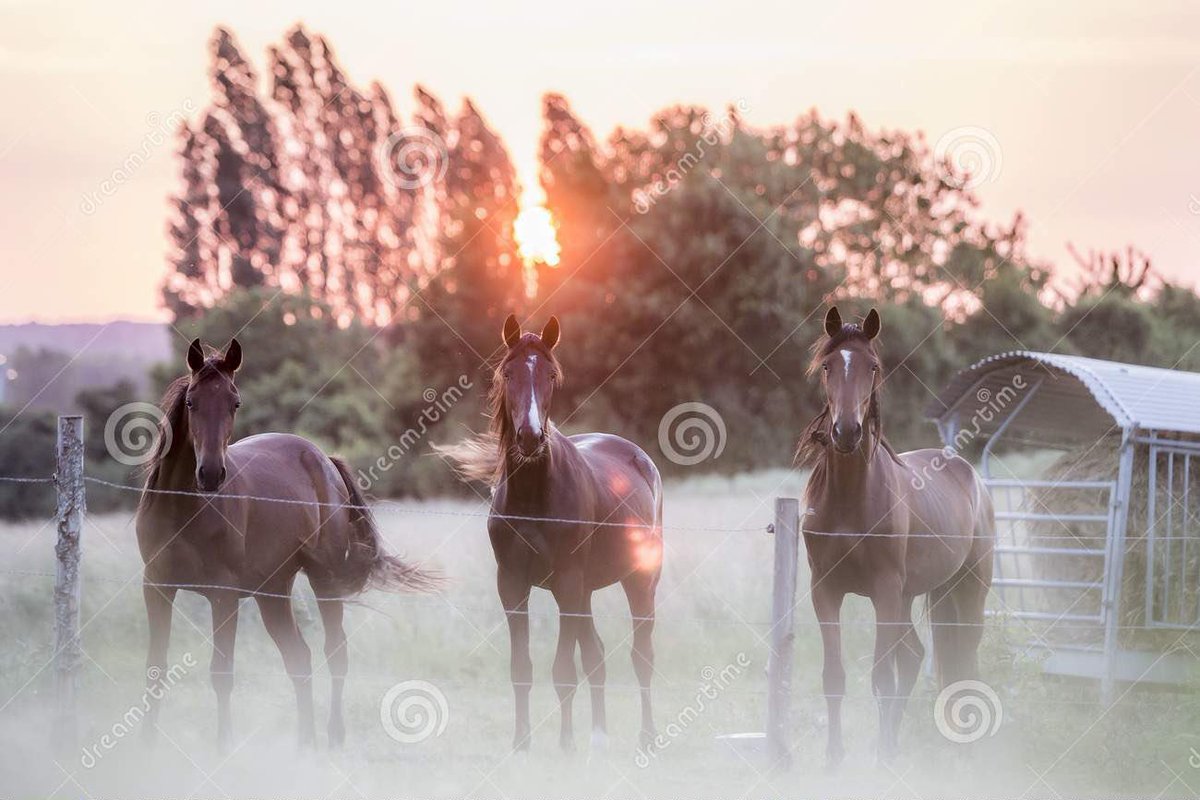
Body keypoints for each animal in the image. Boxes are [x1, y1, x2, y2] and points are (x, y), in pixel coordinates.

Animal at [136, 338, 437, 750]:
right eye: (191, 402)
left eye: (235, 402)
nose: (211, 474)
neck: (184, 507)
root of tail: (323, 458)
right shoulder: (156, 587)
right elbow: (155, 668)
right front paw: (147, 749)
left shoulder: (223, 594)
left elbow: (221, 672)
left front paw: (223, 747)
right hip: (273, 592)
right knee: (299, 657)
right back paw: (304, 741)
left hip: (323, 579)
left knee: (334, 650)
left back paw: (333, 735)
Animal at [436, 314, 664, 753]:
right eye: (508, 373)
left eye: (551, 375)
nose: (529, 436)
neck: (532, 497)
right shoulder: (512, 585)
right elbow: (522, 667)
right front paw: (522, 742)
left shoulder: (568, 584)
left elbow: (562, 670)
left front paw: (566, 744)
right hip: (585, 591)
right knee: (596, 656)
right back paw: (599, 736)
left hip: (637, 581)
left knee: (642, 655)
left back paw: (646, 736)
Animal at [796, 307, 994, 765]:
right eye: (828, 366)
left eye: (872, 366)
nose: (846, 432)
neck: (850, 500)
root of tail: (970, 475)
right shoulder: (825, 590)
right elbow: (835, 676)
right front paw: (835, 758)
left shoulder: (883, 591)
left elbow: (881, 677)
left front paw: (879, 762)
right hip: (907, 598)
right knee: (916, 656)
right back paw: (894, 743)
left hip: (968, 588)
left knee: (967, 653)